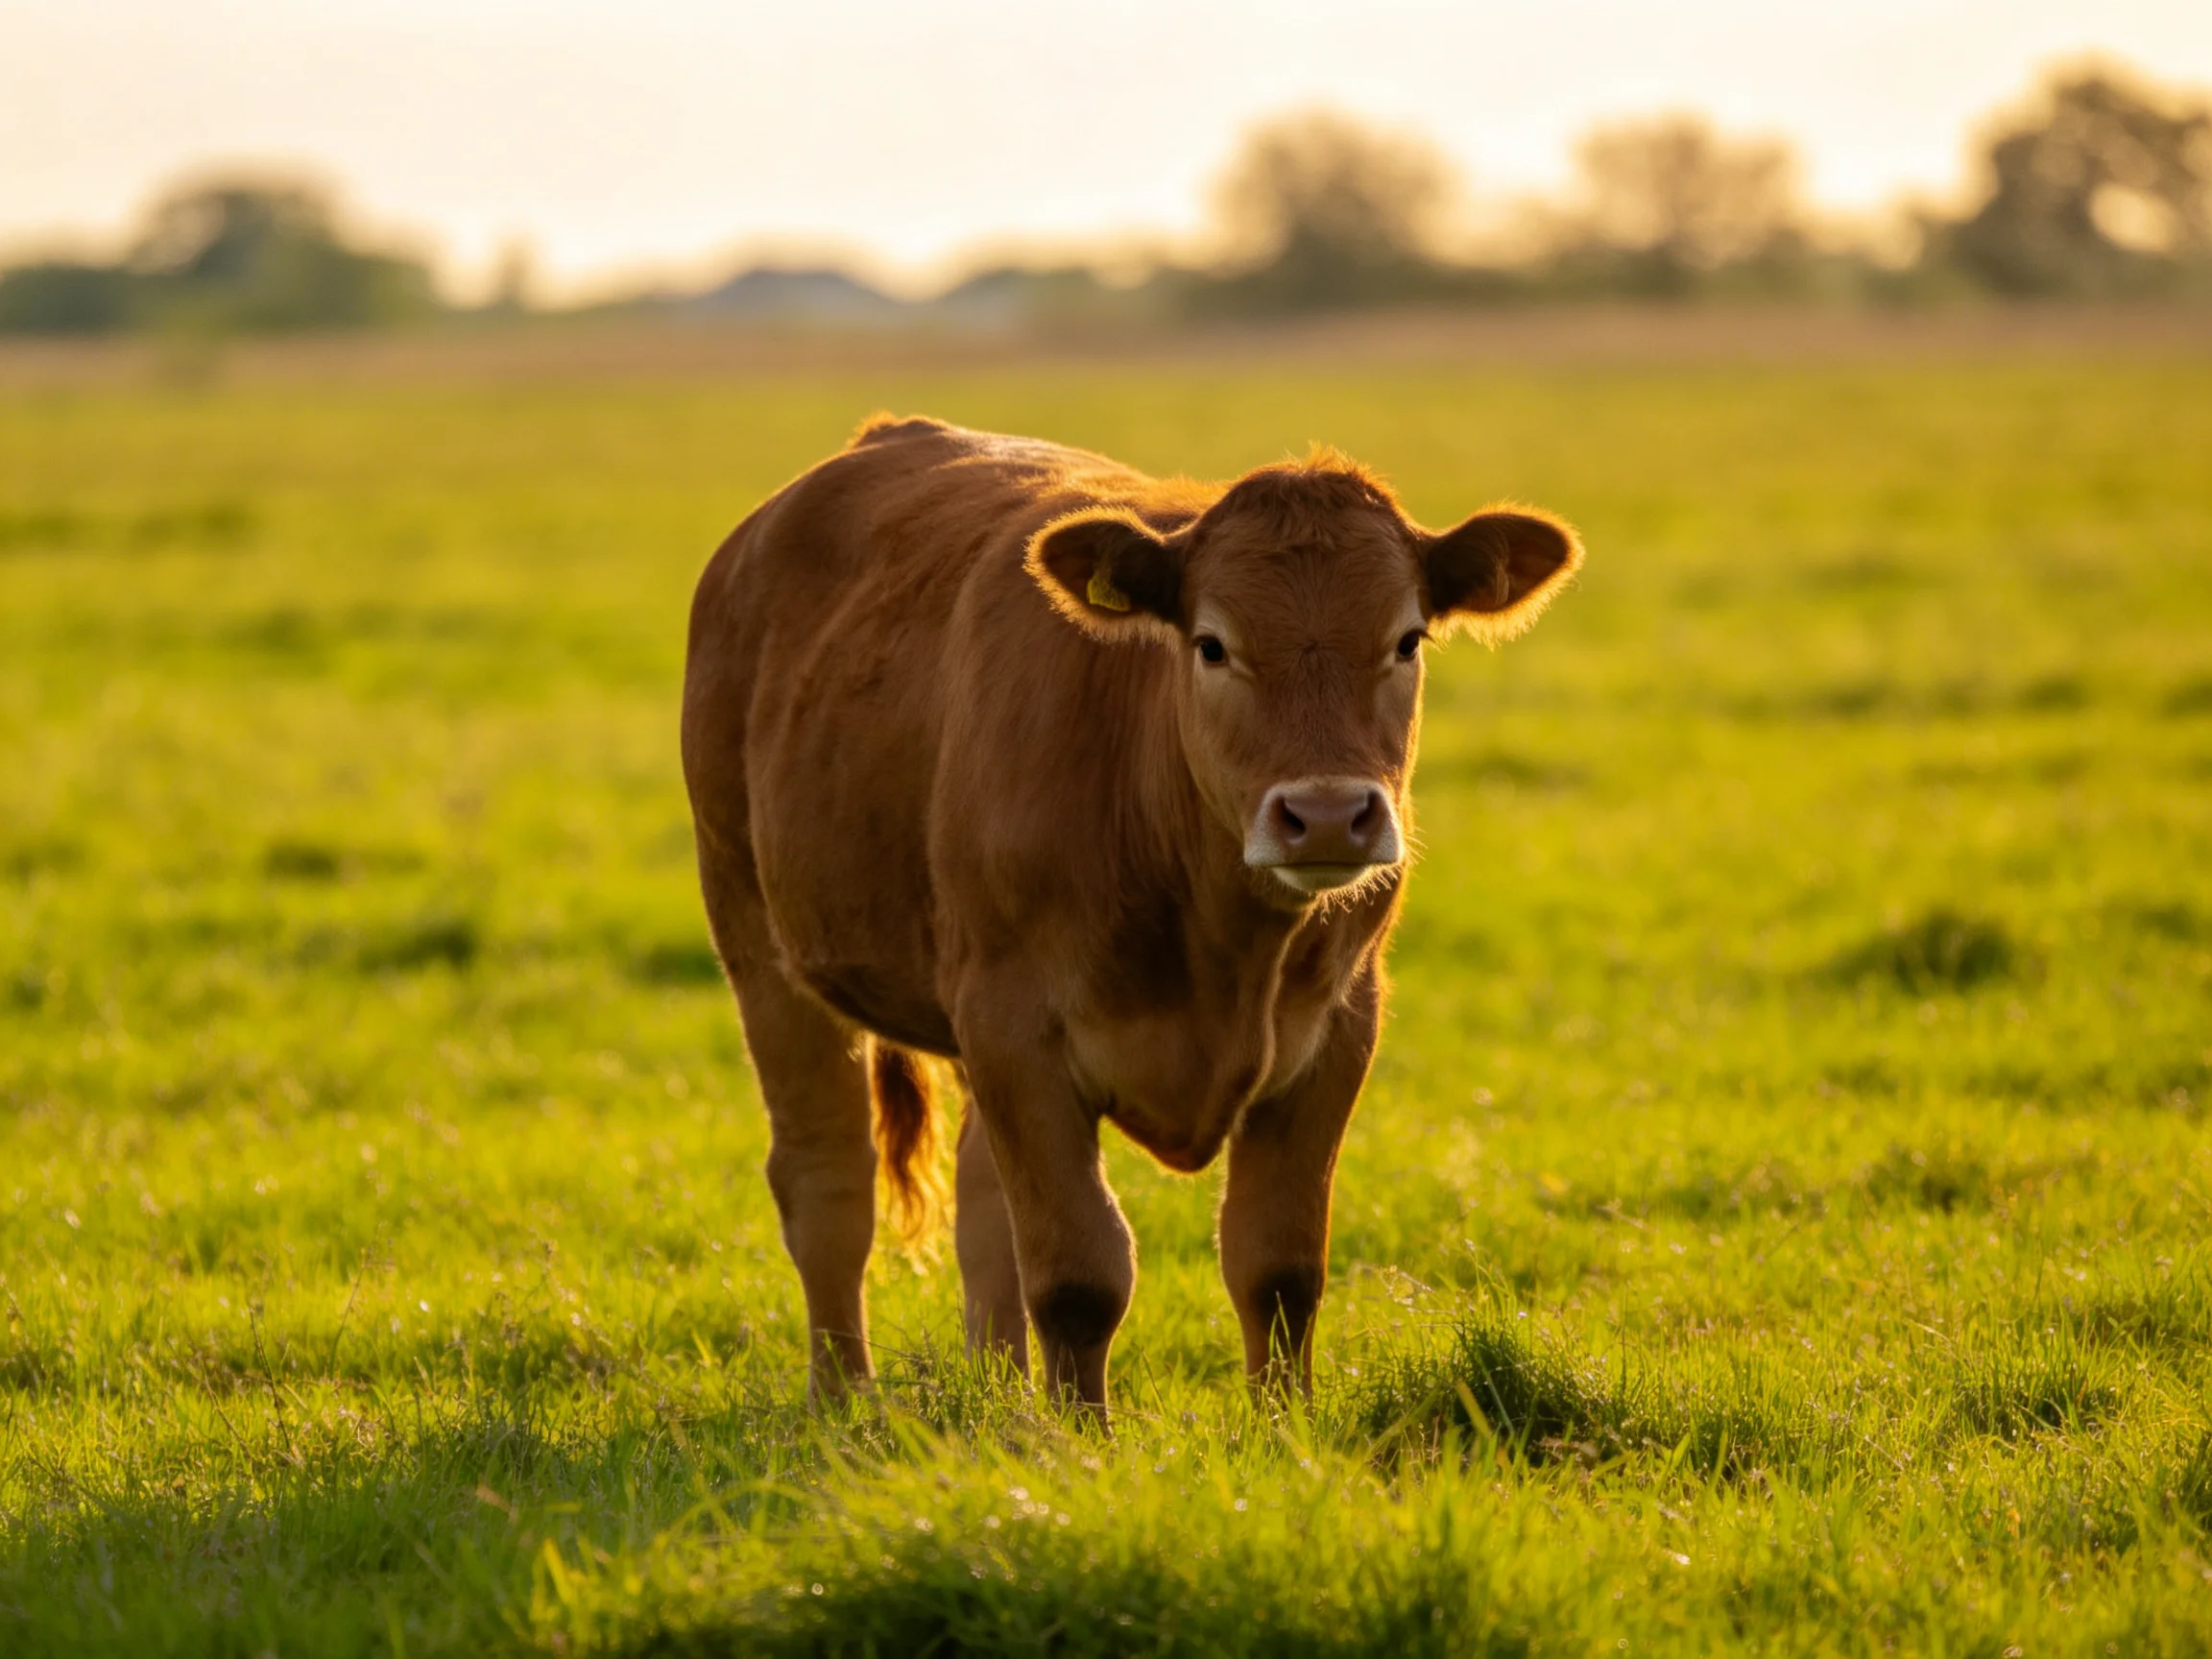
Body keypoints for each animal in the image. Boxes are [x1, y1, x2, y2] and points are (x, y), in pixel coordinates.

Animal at [681, 415, 1580, 1414]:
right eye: (1212, 645)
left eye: (1408, 640)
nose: (1326, 814)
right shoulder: (1014, 1025)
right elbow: (1079, 1273)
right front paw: (1084, 1437)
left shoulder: (1339, 1029)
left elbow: (1278, 1267)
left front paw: (1282, 1429)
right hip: (758, 940)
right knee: (827, 1185)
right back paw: (843, 1398)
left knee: (980, 1205)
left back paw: (999, 1402)